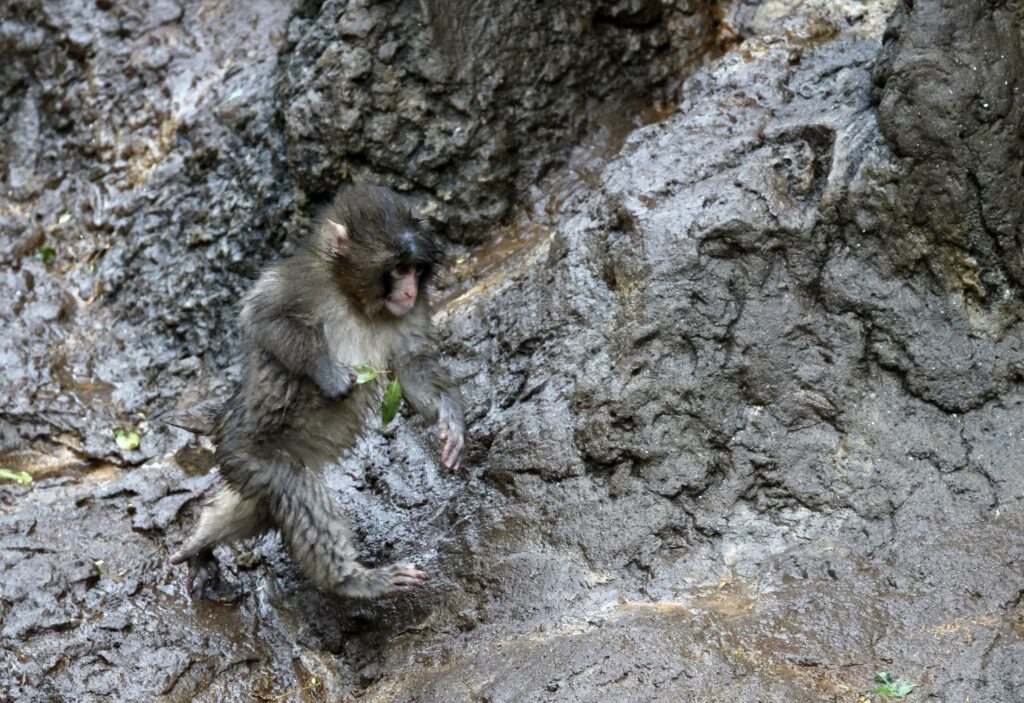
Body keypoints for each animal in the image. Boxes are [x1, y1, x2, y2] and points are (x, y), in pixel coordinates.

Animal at [168, 184, 465, 600]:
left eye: (417, 271)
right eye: (399, 269)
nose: (409, 291)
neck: (355, 301)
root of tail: (224, 418)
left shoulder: (408, 316)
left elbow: (412, 366)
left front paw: (451, 423)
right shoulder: (299, 281)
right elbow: (262, 317)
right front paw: (328, 372)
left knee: (257, 507)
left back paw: (198, 543)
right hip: (247, 452)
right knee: (294, 492)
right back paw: (353, 580)